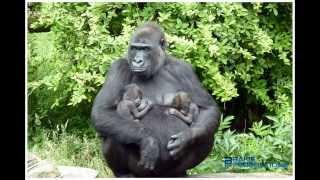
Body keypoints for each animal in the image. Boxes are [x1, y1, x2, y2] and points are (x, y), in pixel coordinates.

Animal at [90, 21, 220, 176]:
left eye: (146, 49)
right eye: (135, 48)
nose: (137, 60)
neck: (157, 66)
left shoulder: (184, 69)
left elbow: (208, 108)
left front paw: (185, 138)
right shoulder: (118, 67)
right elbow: (102, 112)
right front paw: (149, 142)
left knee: (206, 135)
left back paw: (180, 172)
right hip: (140, 170)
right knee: (113, 134)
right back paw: (123, 173)